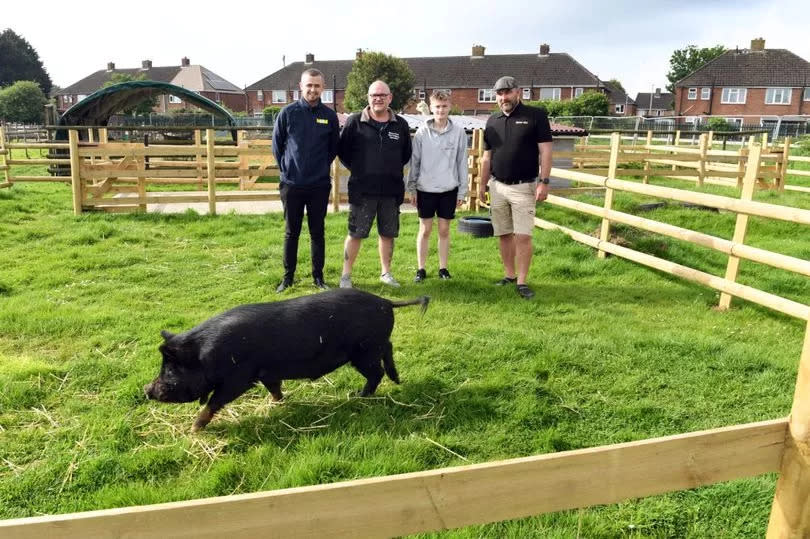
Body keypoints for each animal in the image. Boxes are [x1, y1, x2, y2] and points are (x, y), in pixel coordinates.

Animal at [144, 288, 430, 432]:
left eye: (170, 370)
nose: (147, 389)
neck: (206, 354)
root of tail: (386, 301)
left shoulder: (239, 378)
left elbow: (215, 401)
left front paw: (194, 429)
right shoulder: (267, 372)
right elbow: (274, 387)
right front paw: (279, 403)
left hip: (364, 352)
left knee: (376, 373)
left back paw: (358, 396)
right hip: (375, 345)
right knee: (389, 352)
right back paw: (395, 381)